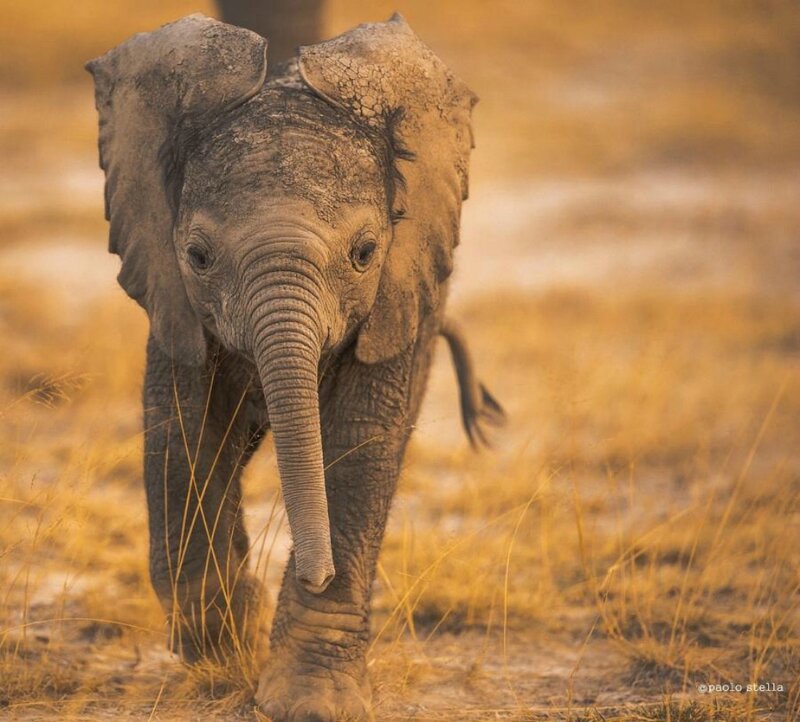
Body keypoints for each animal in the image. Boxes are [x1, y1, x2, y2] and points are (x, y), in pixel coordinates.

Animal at [87, 13, 503, 721]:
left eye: (365, 253)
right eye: (197, 256)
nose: (316, 566)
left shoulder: (399, 295)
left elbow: (359, 442)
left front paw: (309, 700)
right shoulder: (171, 297)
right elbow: (183, 431)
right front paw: (222, 652)